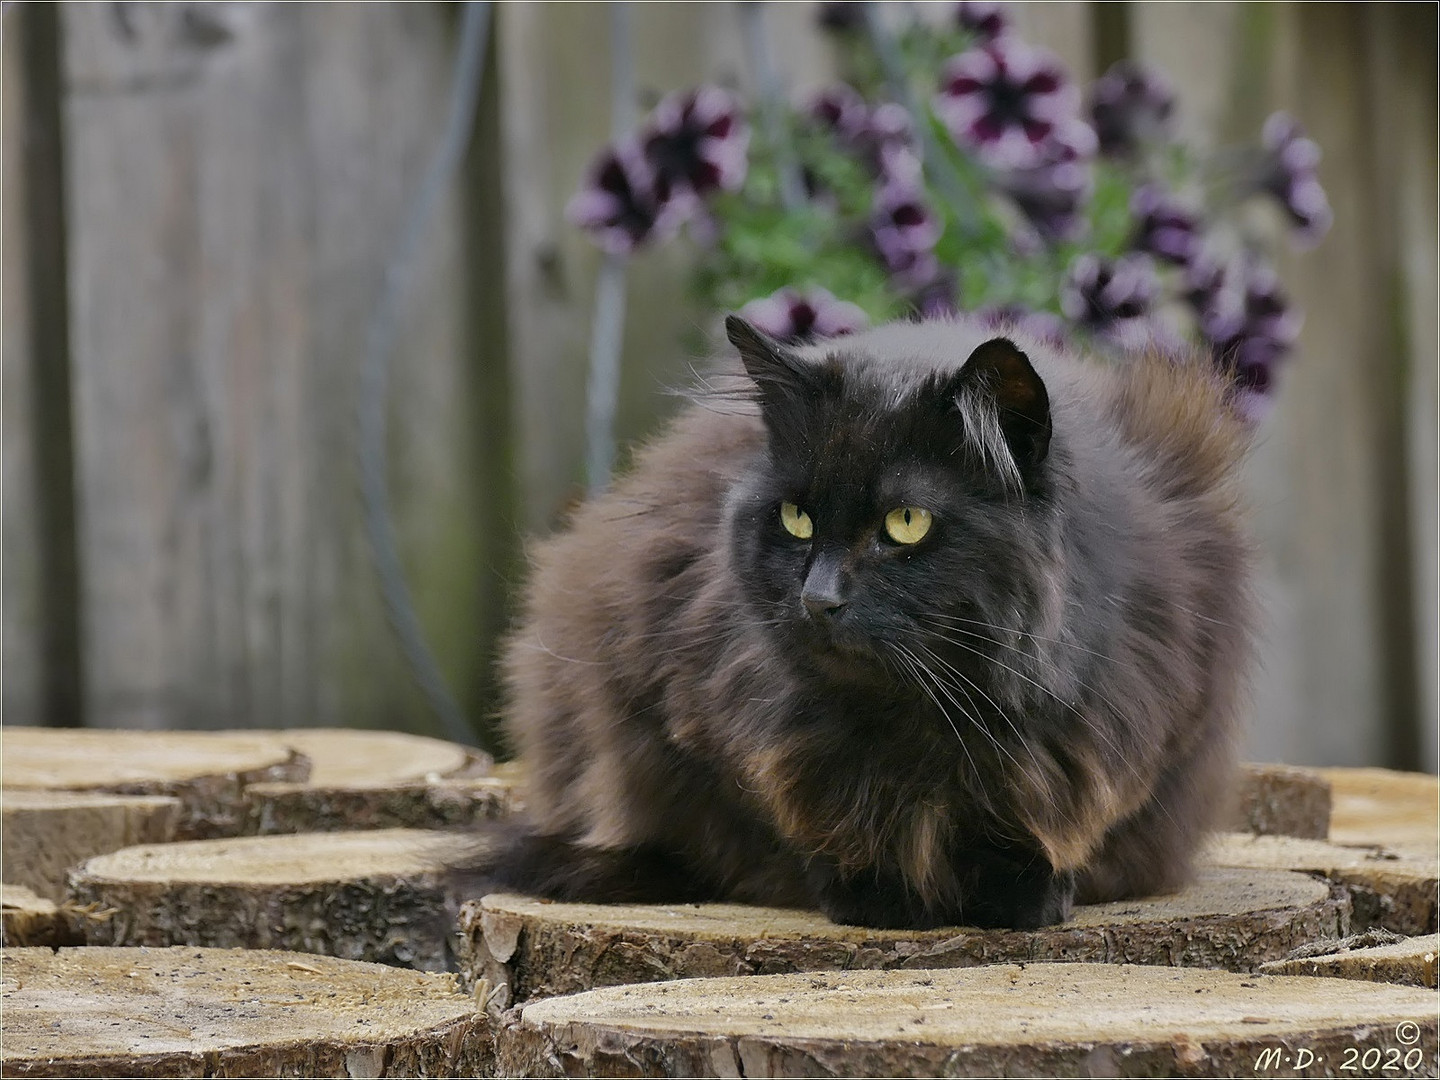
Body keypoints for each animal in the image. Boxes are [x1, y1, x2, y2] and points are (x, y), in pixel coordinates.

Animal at [466, 315, 1255, 933]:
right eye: (796, 517)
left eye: (905, 523)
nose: (819, 599)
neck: (924, 720)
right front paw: (877, 893)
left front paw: (1024, 894)